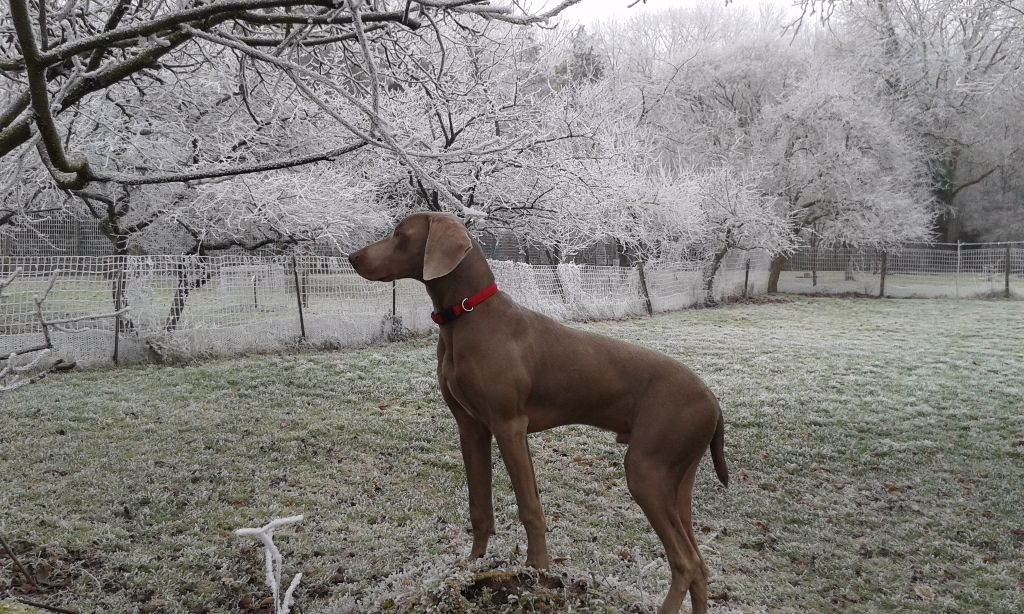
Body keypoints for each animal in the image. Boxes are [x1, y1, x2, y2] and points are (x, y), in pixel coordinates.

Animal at [352, 211, 729, 614]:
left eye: (400, 235)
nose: (352, 258)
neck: (469, 314)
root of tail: (713, 400)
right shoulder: (471, 428)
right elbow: (479, 508)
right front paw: (474, 565)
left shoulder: (509, 426)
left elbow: (529, 506)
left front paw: (536, 571)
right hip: (677, 480)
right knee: (700, 565)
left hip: (646, 471)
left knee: (684, 561)